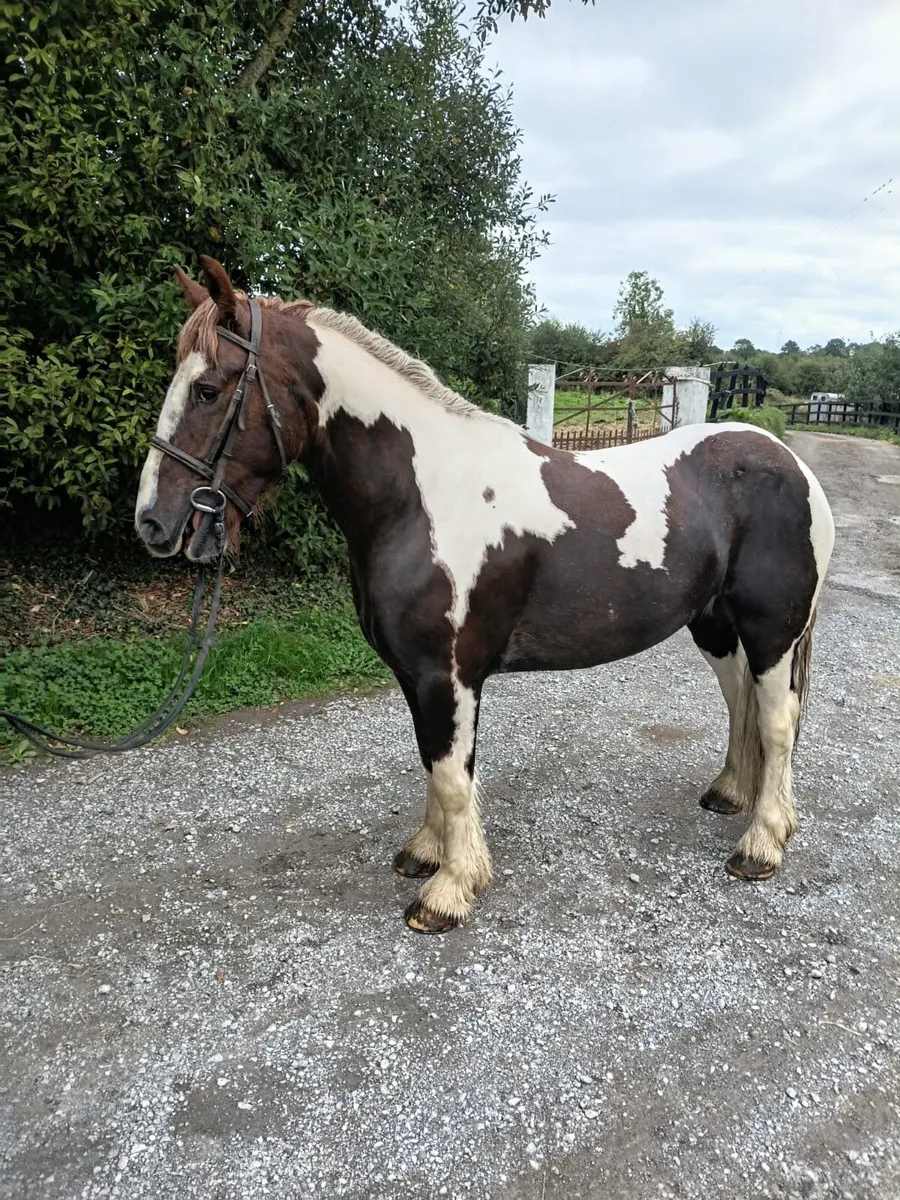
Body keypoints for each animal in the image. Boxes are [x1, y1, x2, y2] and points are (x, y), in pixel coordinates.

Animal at [135, 257, 835, 934]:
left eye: (207, 389)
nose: (153, 523)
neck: (422, 496)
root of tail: (791, 464)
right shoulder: (418, 675)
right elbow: (431, 761)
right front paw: (426, 853)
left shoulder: (447, 675)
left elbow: (451, 775)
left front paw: (448, 892)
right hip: (714, 624)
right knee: (742, 702)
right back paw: (730, 793)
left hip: (773, 632)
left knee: (777, 720)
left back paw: (761, 844)